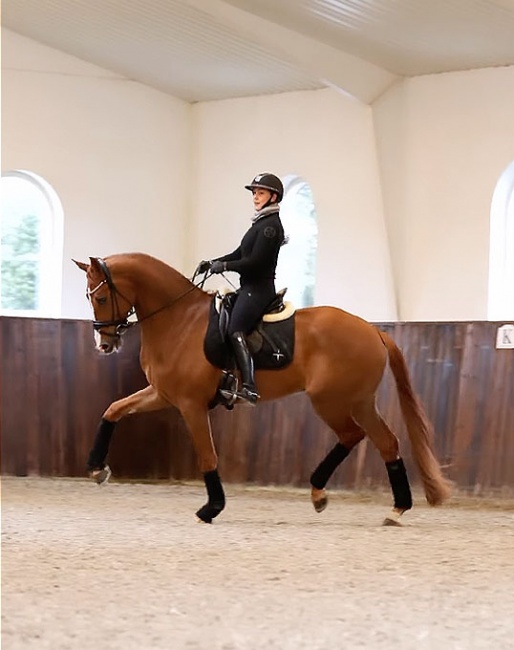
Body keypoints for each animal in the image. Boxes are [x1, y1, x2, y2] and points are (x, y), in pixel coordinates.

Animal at [73, 251, 448, 524]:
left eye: (101, 298)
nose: (103, 344)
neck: (179, 320)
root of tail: (374, 330)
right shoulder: (163, 394)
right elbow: (114, 409)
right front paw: (96, 468)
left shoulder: (190, 403)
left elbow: (207, 455)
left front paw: (212, 508)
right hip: (358, 401)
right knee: (383, 441)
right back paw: (388, 507)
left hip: (331, 400)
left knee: (356, 435)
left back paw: (338, 495)